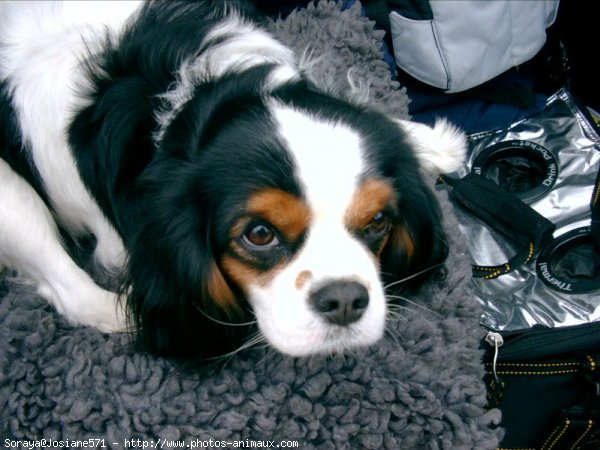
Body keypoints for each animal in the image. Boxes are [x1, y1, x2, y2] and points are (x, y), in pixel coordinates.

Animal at [0, 0, 464, 362]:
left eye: (378, 221)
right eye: (259, 234)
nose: (345, 299)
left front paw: (434, 142)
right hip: (13, 201)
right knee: (72, 293)